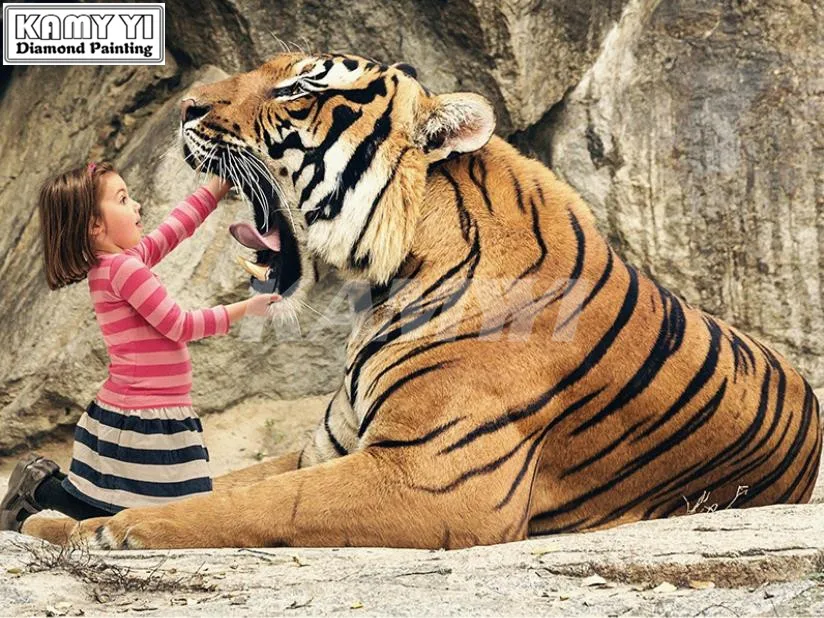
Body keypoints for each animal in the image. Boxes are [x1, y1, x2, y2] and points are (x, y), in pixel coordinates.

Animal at [24, 52, 822, 550]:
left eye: (297, 91)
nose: (186, 107)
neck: (388, 278)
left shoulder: (430, 476)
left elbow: (243, 502)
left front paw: (98, 529)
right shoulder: (328, 446)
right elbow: (215, 483)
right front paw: (55, 520)